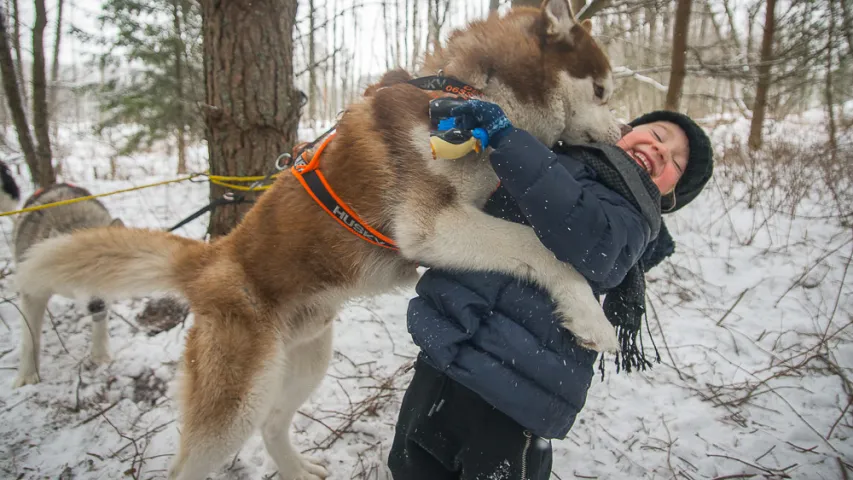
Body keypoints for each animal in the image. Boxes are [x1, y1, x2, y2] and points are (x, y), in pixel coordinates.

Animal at [12, 182, 125, 388]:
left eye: (106, 271)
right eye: (75, 274)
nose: (96, 304)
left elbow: (100, 326)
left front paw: (100, 355)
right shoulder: (32, 294)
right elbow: (30, 340)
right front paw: (27, 376)